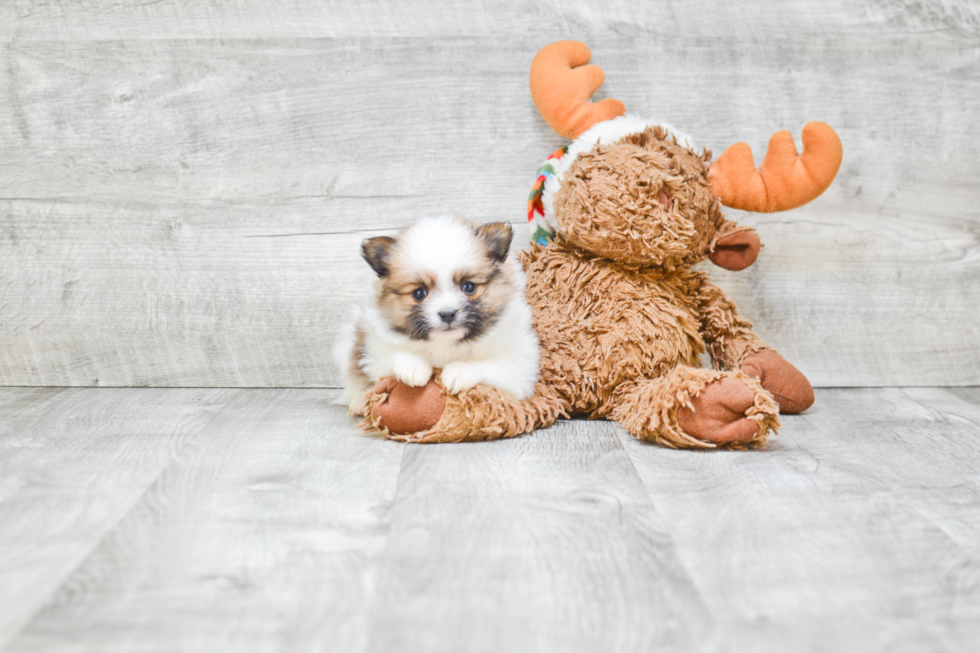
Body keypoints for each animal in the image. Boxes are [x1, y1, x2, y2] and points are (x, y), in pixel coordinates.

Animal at [334, 214, 540, 410]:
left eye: (469, 287)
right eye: (419, 293)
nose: (447, 313)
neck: (446, 345)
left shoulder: (518, 367)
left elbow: (487, 364)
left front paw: (458, 372)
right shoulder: (373, 350)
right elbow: (395, 354)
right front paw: (413, 368)